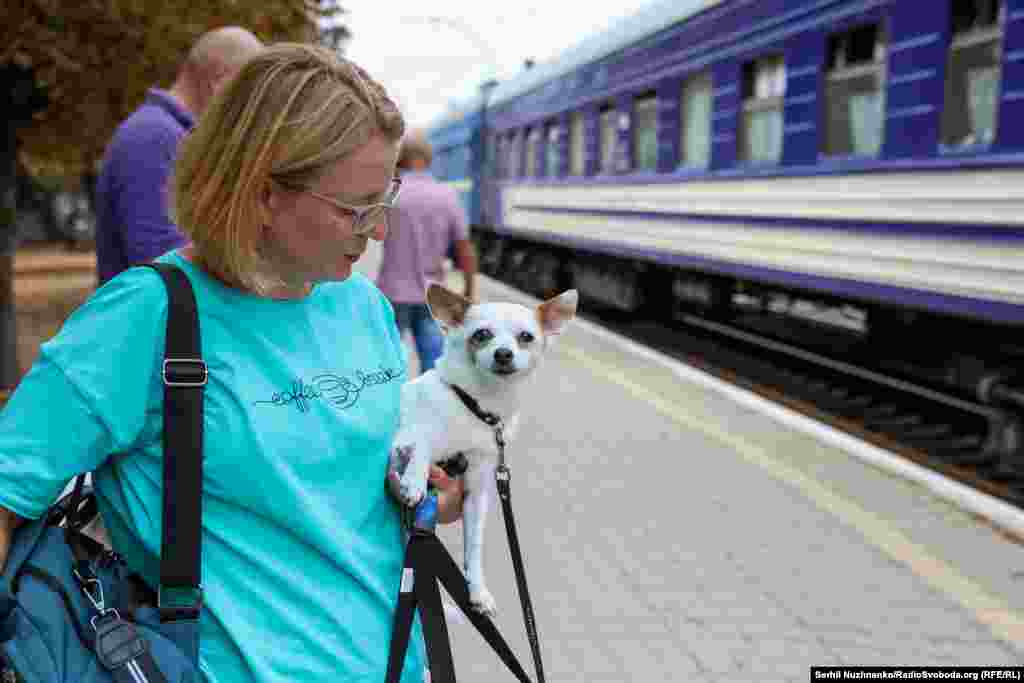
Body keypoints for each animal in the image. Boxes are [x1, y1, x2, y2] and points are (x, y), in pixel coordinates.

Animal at [391, 282, 581, 614]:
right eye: (482, 334)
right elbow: (424, 440)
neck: (476, 407)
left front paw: (478, 590)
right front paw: (414, 481)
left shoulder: (476, 492)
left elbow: (474, 548)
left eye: (526, 337)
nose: (503, 353)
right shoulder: (402, 440)